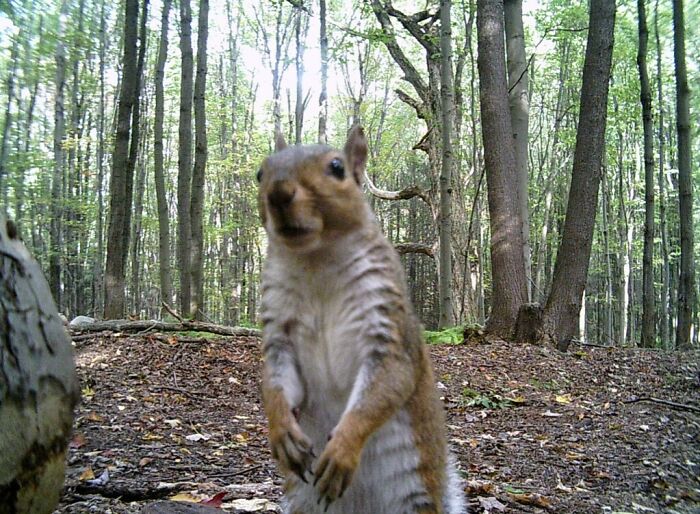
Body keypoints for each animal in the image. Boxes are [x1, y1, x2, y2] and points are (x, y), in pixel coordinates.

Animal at [257, 126, 466, 514]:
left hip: (413, 493)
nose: (279, 192)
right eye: (260, 173)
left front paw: (342, 449)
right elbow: (275, 384)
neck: (317, 259)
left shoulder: (387, 332)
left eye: (337, 168)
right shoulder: (280, 336)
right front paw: (281, 432)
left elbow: (385, 386)